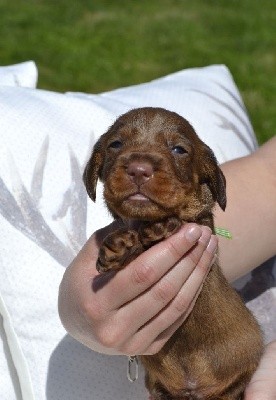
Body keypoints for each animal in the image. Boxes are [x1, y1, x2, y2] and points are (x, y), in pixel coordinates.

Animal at [83, 107, 264, 400]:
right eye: (115, 144)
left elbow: (182, 221)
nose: (139, 170)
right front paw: (119, 245)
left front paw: (160, 228)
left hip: (236, 382)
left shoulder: (202, 226)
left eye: (179, 149)